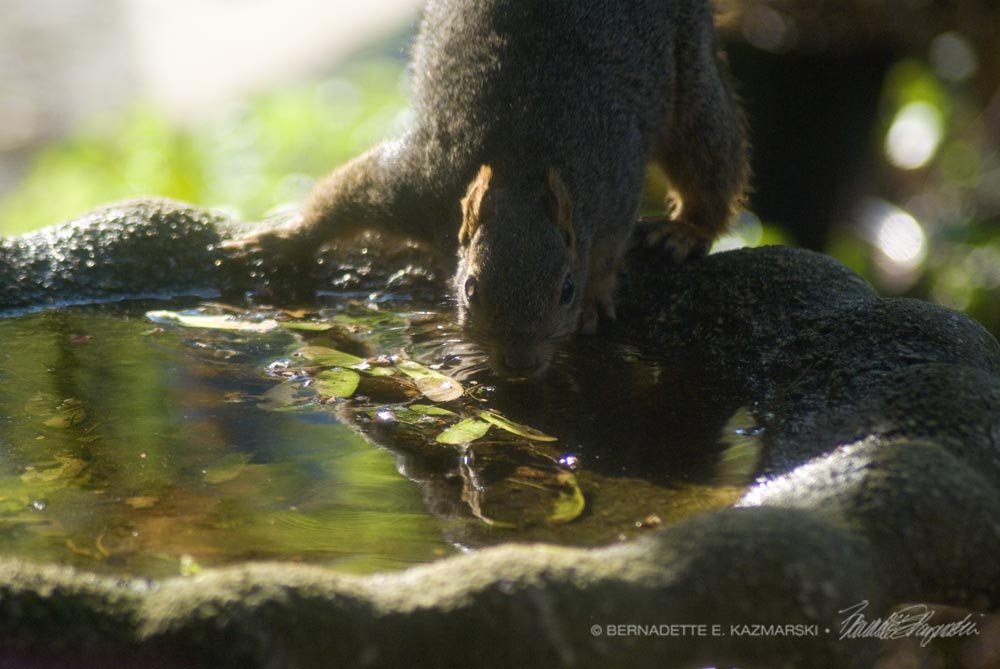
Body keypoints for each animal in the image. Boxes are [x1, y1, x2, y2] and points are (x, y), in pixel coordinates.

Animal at [223, 0, 748, 378]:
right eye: (470, 288)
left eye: (567, 290)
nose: (520, 364)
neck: (520, 167)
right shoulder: (416, 187)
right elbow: (341, 200)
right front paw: (280, 241)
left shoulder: (616, 187)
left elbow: (607, 253)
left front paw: (596, 299)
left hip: (693, 84)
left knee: (710, 160)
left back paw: (685, 230)